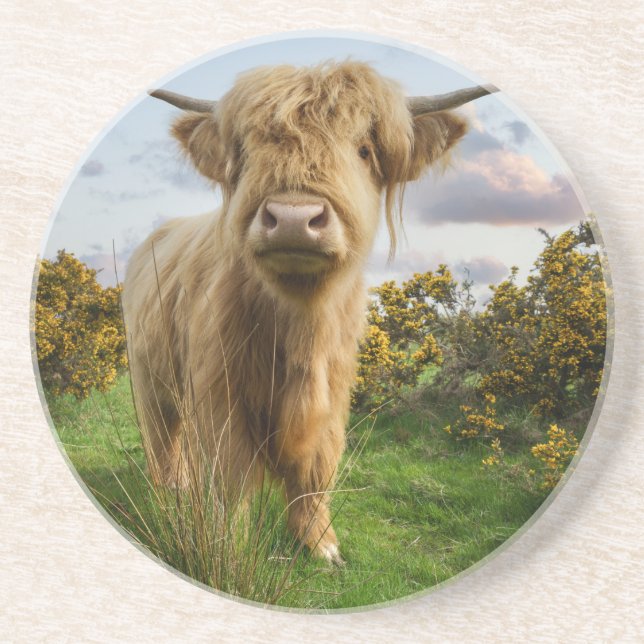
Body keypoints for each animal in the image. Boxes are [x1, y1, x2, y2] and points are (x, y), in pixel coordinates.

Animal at [122, 61, 496, 565]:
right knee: (162, 436)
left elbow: (318, 468)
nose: (294, 219)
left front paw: (320, 545)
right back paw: (169, 489)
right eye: (245, 152)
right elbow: (230, 475)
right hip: (148, 376)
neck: (301, 326)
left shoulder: (335, 389)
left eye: (364, 150)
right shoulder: (219, 389)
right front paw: (228, 546)